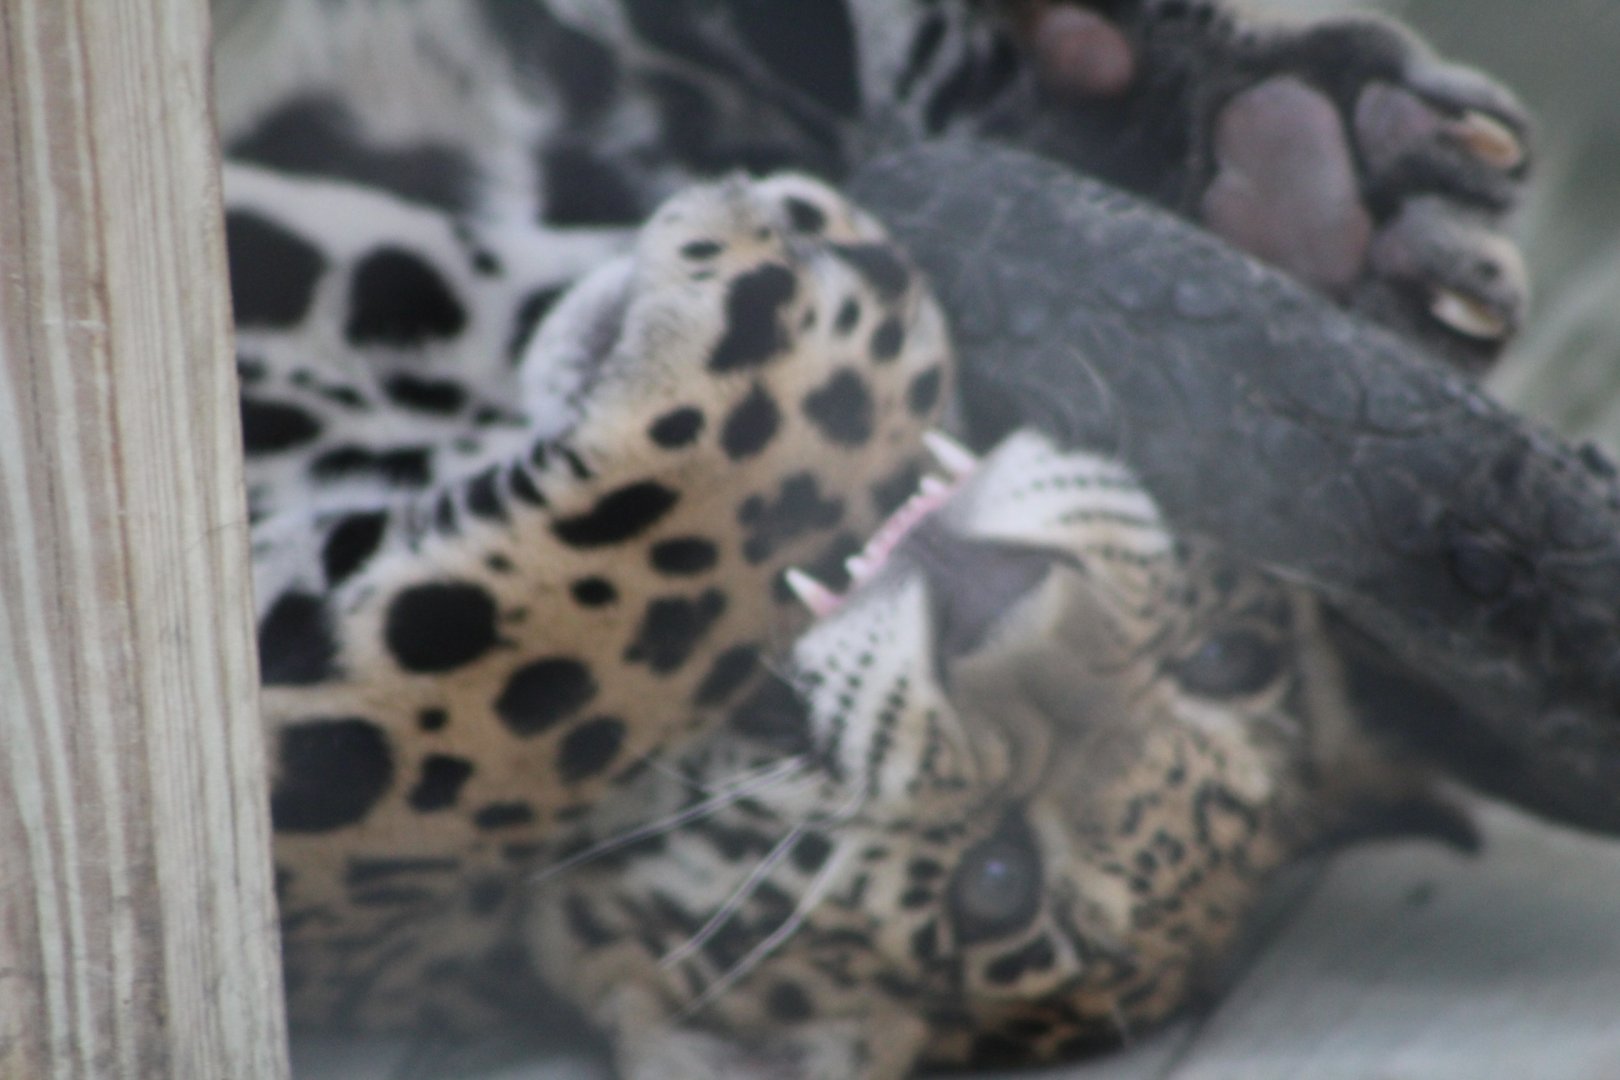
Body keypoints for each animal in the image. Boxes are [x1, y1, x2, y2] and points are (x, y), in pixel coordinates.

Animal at [215, 0, 1532, 1072]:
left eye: (995, 884)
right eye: (1227, 660)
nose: (992, 598)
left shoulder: (322, 823)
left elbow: (531, 681)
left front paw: (818, 341)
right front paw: (1249, 153)